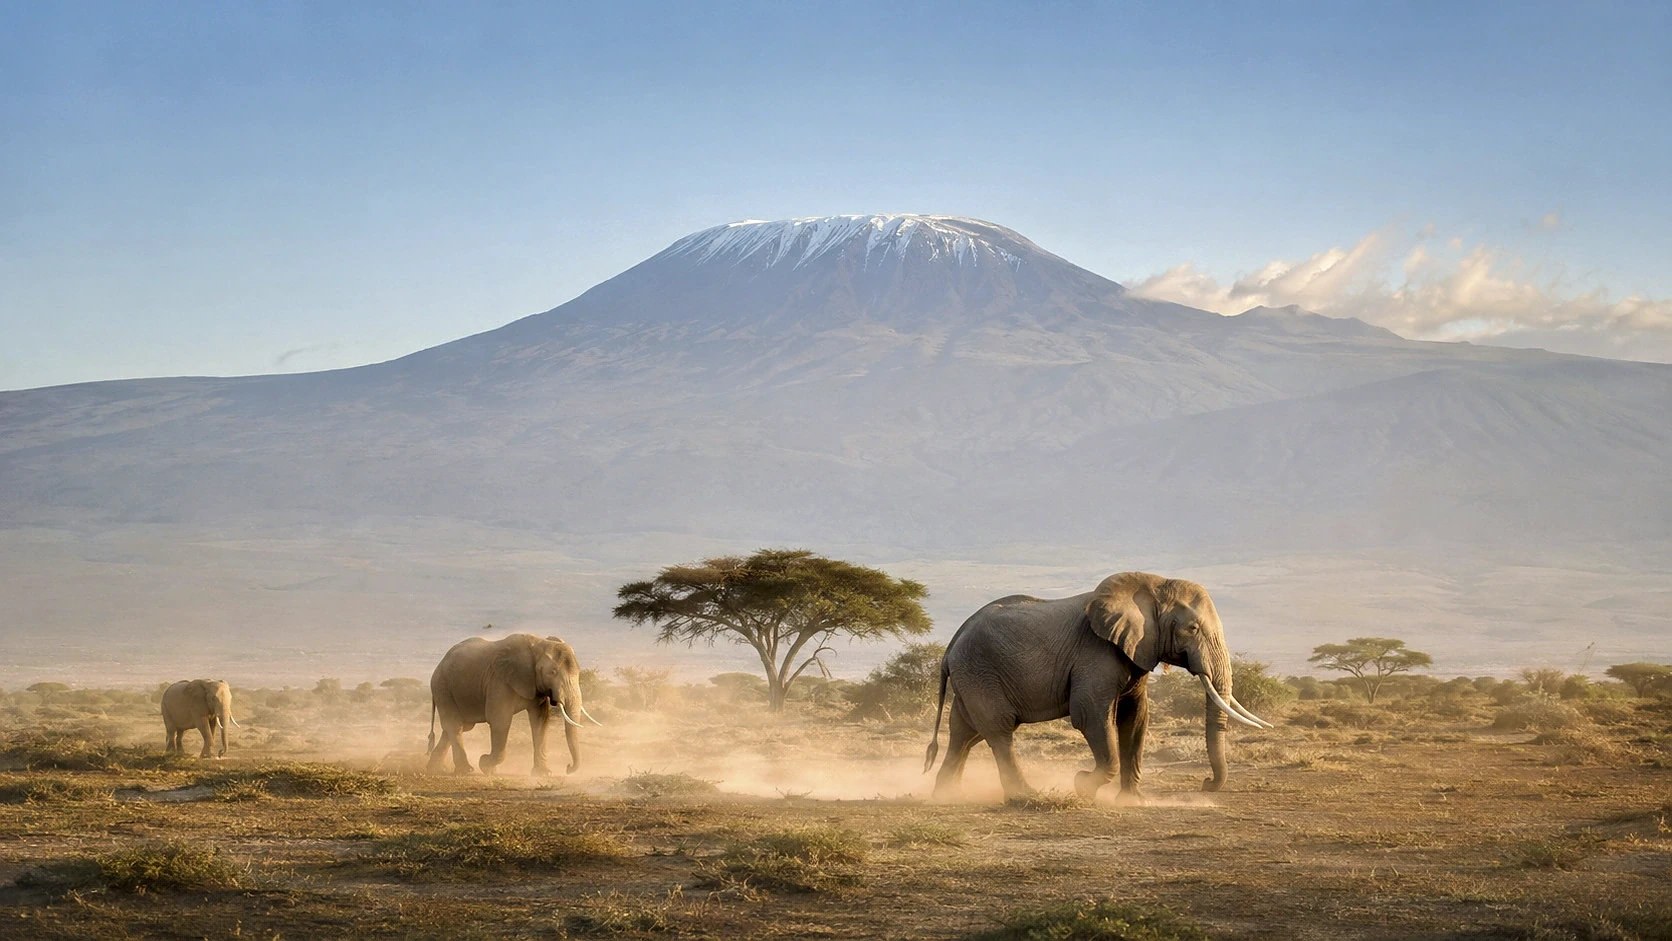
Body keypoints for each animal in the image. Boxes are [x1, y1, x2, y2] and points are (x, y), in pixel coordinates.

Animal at [426, 632, 601, 776]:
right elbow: (499, 720)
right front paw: (485, 764)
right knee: (455, 725)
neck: (539, 643)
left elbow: (540, 721)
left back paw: (435, 769)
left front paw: (544, 774)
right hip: (442, 686)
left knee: (458, 727)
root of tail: (439, 664)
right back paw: (465, 770)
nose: (568, 767)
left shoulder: (535, 685)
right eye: (552, 672)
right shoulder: (498, 681)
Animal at [923, 572, 1272, 803]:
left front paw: (1133, 802)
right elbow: (1091, 716)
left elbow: (1136, 718)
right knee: (997, 731)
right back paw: (1025, 797)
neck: (1153, 585)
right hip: (980, 671)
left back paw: (947, 795)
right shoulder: (1095, 653)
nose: (1204, 783)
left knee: (965, 733)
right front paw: (1081, 786)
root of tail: (951, 646)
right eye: (1193, 628)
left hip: (972, 676)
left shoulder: (1135, 651)